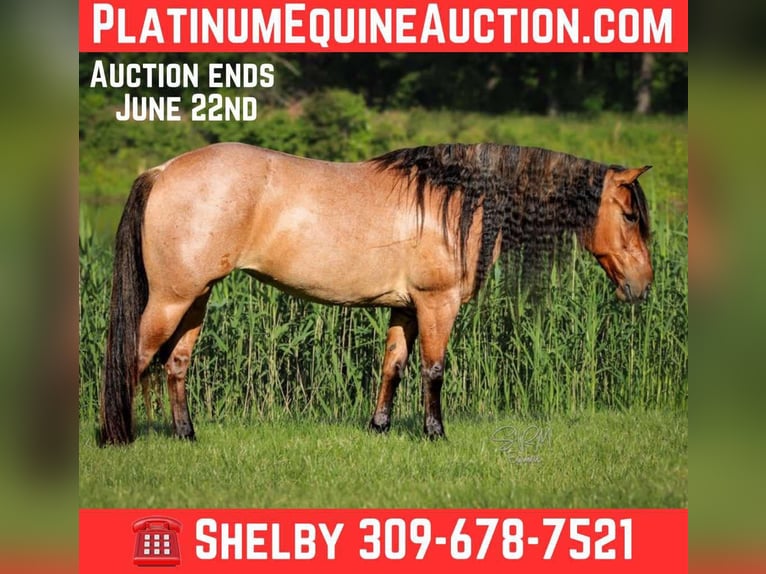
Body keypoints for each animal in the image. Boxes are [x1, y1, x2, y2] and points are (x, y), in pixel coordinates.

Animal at [98, 142, 652, 445]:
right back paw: (113, 436)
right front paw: (435, 433)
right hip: (171, 299)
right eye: (629, 215)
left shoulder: (405, 308)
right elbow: (433, 369)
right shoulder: (436, 303)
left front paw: (379, 427)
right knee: (135, 357)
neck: (456, 201)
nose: (642, 287)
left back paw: (186, 434)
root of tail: (163, 170)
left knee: (176, 363)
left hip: (196, 299)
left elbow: (394, 366)